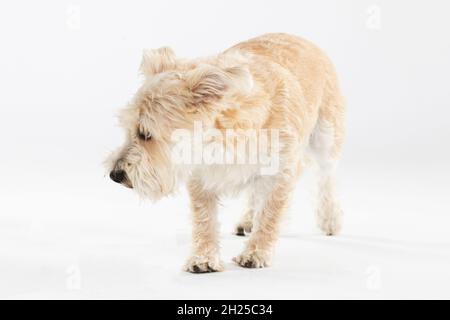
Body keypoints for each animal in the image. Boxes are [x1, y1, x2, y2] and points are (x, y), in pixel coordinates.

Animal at [105, 33, 344, 272]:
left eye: (145, 133)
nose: (115, 175)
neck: (219, 139)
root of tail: (297, 37)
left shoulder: (281, 171)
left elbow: (270, 214)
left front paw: (256, 252)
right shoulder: (200, 178)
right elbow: (204, 218)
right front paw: (203, 257)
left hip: (326, 137)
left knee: (327, 177)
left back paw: (329, 219)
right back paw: (248, 220)